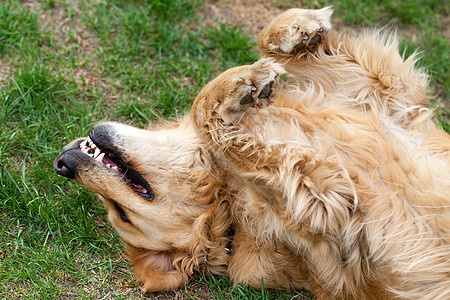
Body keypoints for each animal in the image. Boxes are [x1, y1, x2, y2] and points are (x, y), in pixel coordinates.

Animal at [53, 7, 450, 300]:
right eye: (122, 216)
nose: (62, 164)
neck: (228, 208)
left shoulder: (392, 105)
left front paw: (298, 28)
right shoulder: (329, 200)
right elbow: (207, 115)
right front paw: (239, 87)